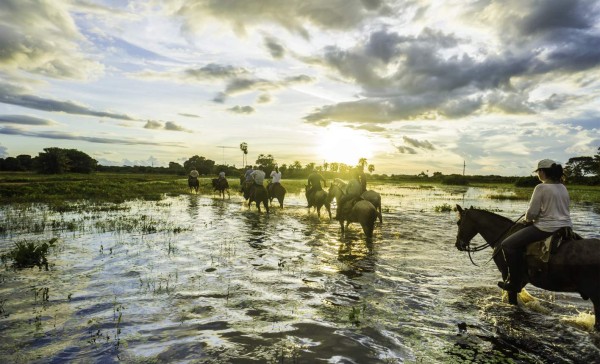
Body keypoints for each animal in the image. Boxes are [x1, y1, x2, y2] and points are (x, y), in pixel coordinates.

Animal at [454, 205, 600, 330]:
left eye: (458, 222)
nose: (458, 245)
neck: (502, 236)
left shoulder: (508, 275)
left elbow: (512, 299)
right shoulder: (522, 279)